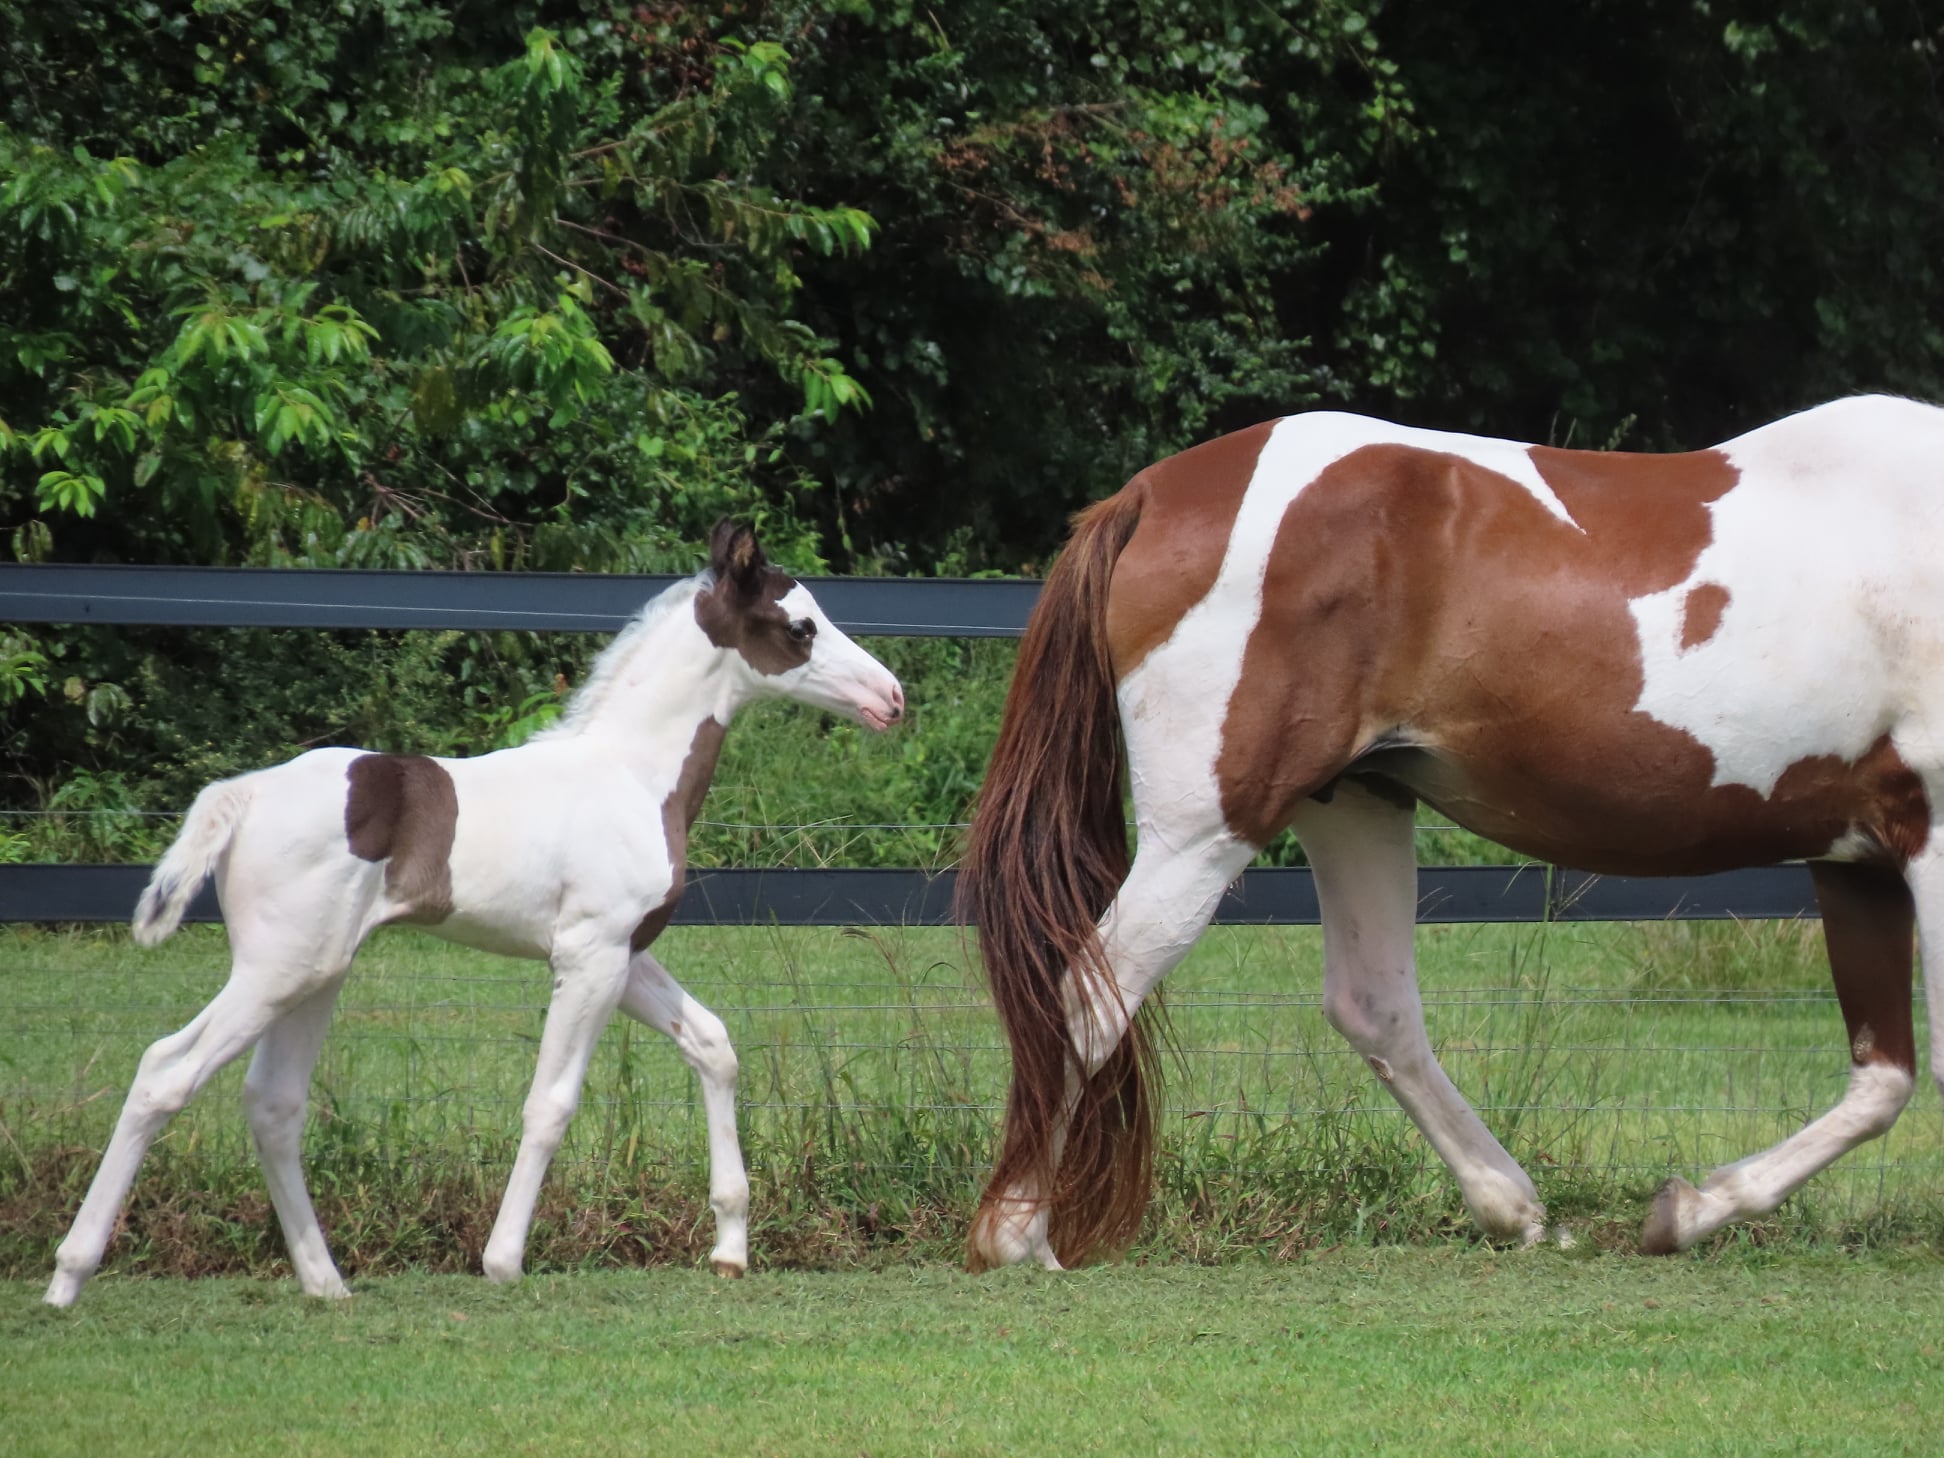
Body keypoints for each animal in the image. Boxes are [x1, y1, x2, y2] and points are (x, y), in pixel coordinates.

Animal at [37, 524, 902, 1314]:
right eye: (802, 627)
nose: (890, 698)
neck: (629, 773)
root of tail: (244, 793)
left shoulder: (621, 954)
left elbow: (714, 1046)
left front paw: (728, 1247)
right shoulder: (588, 955)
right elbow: (551, 1102)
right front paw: (503, 1260)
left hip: (316, 971)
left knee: (274, 1104)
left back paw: (326, 1283)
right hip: (275, 970)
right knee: (165, 1071)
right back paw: (68, 1277)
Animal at [960, 394, 1944, 1275]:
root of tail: (1148, 496)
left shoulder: (1857, 861)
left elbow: (1883, 1077)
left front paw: (1686, 1209)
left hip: (1351, 802)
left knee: (1374, 1007)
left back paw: (1512, 1208)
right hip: (1204, 833)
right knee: (1091, 993)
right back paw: (1017, 1236)